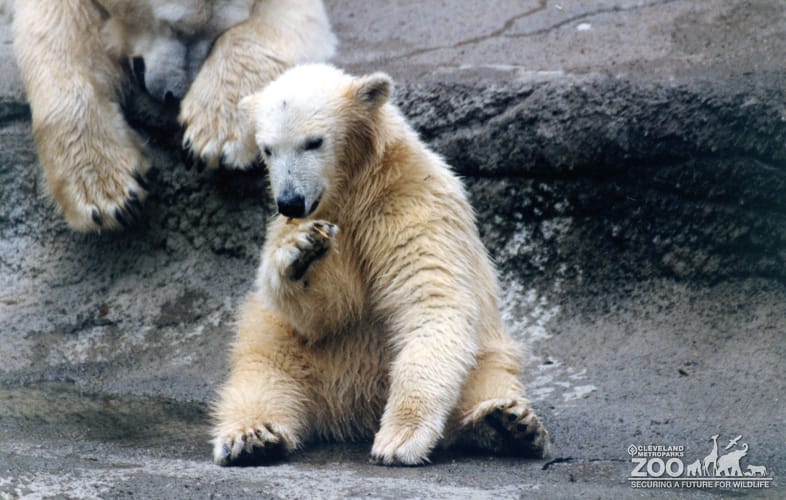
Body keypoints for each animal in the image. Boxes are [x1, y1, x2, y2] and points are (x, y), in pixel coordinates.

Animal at [12, 0, 336, 231]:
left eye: (216, 32)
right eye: (174, 28)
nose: (173, 95)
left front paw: (214, 137)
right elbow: (55, 32)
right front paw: (107, 193)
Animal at [211, 64, 550, 466]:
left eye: (314, 142)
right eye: (267, 149)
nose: (290, 201)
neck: (356, 186)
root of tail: (348, 411)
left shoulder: (410, 203)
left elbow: (430, 299)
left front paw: (400, 438)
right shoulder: (311, 224)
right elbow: (323, 313)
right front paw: (303, 250)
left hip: (489, 351)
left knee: (488, 378)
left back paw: (508, 424)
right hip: (283, 347)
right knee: (262, 379)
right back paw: (252, 437)